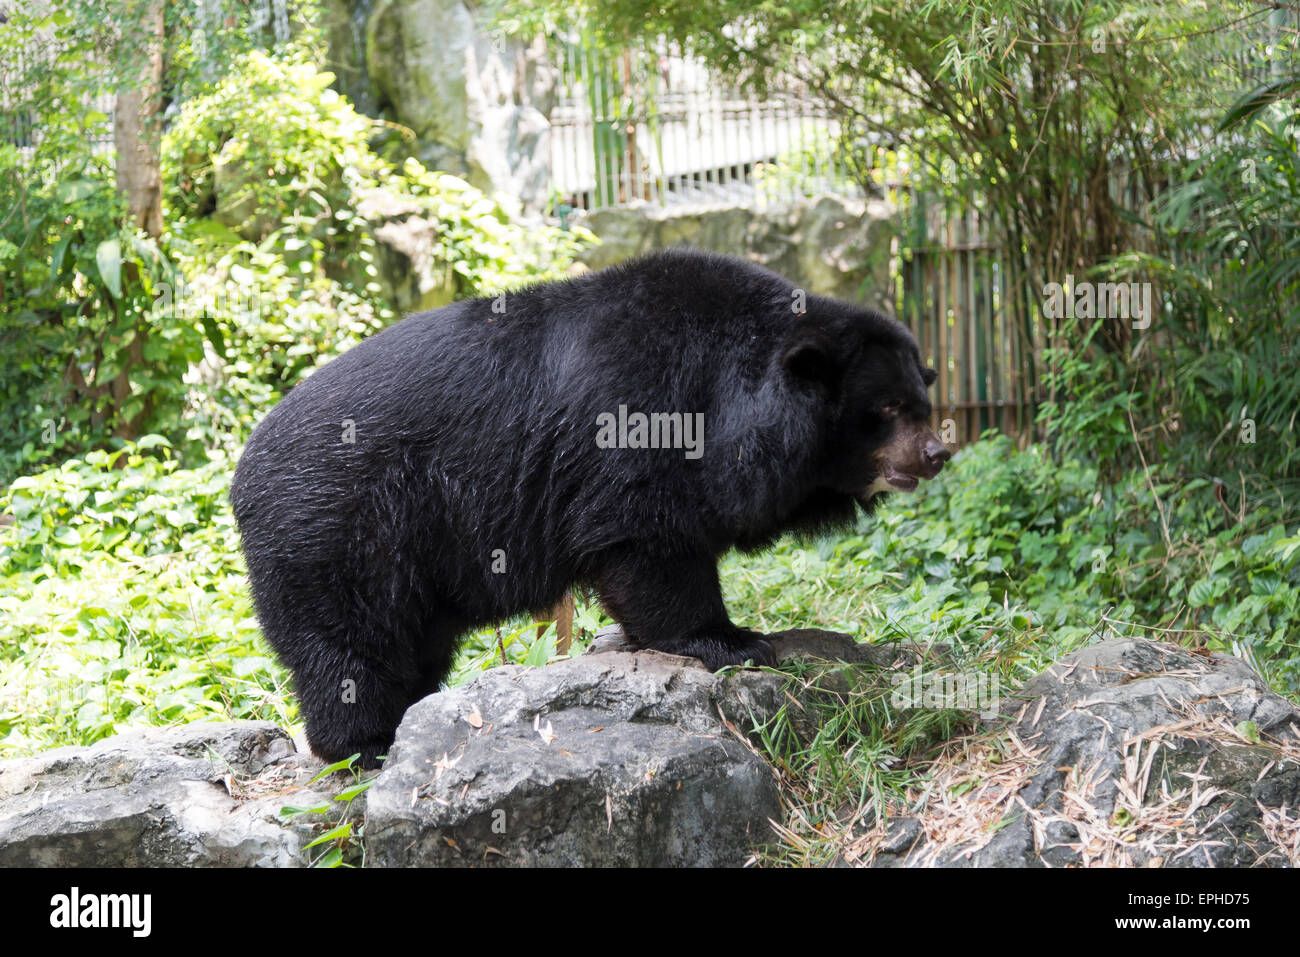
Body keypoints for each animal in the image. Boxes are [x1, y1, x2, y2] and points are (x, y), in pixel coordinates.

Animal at [230, 248, 950, 768]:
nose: (938, 452)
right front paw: (734, 640)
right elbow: (649, 545)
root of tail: (241, 476)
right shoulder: (637, 429)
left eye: (921, 395)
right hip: (339, 533)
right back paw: (367, 746)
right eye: (886, 409)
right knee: (351, 649)